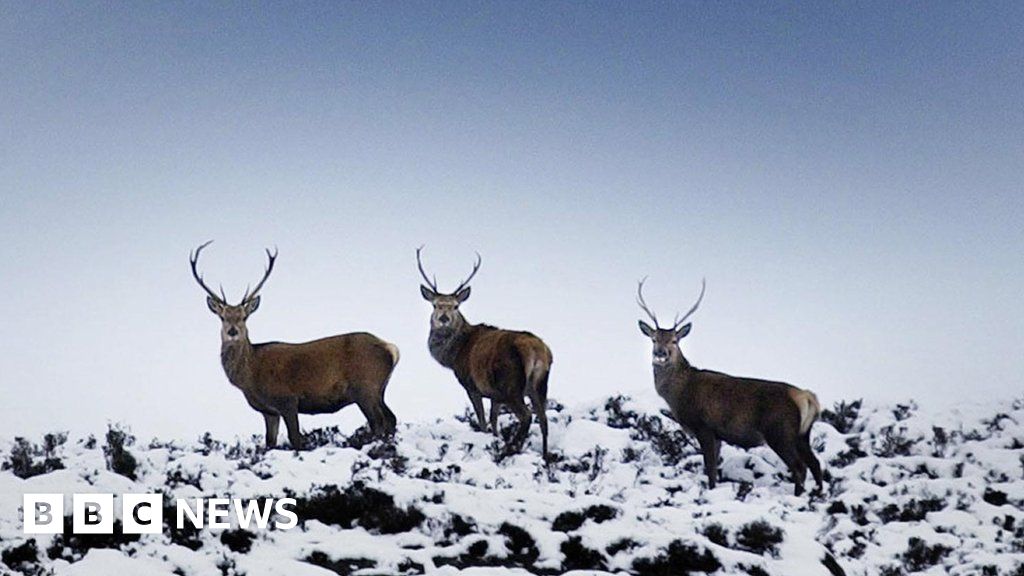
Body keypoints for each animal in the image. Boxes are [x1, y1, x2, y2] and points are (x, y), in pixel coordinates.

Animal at [189, 241, 399, 450]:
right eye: (223, 317)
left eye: (244, 317)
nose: (233, 331)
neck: (250, 377)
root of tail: (391, 349)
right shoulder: (269, 411)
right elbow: (270, 441)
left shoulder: (288, 400)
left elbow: (295, 439)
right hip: (379, 389)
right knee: (391, 418)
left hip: (365, 387)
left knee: (378, 422)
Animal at [416, 247, 553, 459]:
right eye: (435, 304)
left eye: (456, 306)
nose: (444, 318)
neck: (453, 356)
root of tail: (537, 351)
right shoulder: (494, 394)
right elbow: (494, 420)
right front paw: (495, 439)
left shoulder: (472, 385)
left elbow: (482, 420)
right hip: (539, 385)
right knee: (544, 420)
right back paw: (544, 456)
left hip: (512, 385)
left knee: (527, 416)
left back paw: (509, 449)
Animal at [636, 278, 823, 496]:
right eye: (654, 339)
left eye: (674, 341)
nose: (660, 353)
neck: (679, 394)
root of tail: (805, 397)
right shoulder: (717, 434)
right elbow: (714, 471)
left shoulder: (705, 426)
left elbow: (710, 469)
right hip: (802, 434)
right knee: (815, 464)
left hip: (780, 431)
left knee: (800, 467)